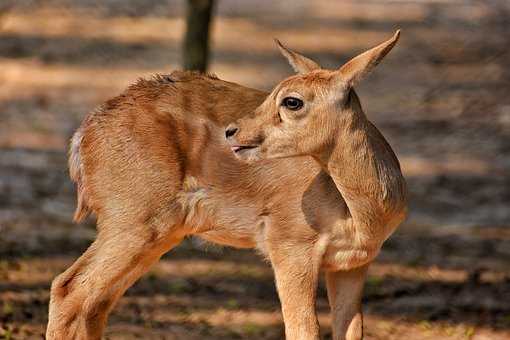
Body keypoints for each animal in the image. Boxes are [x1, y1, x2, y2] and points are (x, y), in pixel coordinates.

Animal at [47, 31, 406, 340]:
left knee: (94, 303)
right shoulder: (289, 247)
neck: (362, 212)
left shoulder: (352, 263)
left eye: (292, 101)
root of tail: (85, 133)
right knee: (68, 288)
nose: (233, 131)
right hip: (133, 223)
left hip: (157, 233)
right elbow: (303, 330)